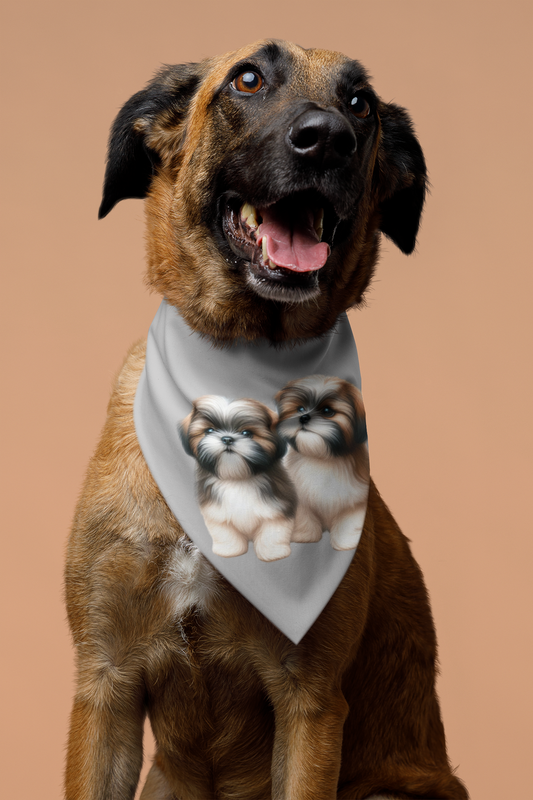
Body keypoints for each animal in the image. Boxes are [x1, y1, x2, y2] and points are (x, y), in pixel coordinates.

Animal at [179, 396, 296, 564]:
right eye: (209, 431)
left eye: (246, 433)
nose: (227, 439)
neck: (236, 477)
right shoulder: (217, 513)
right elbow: (225, 533)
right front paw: (229, 550)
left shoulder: (277, 507)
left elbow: (272, 533)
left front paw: (274, 553)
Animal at [274, 376, 370, 552]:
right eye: (300, 408)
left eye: (327, 411)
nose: (304, 417)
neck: (322, 456)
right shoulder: (302, 498)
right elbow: (305, 516)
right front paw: (305, 536)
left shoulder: (355, 499)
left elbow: (348, 521)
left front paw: (346, 542)